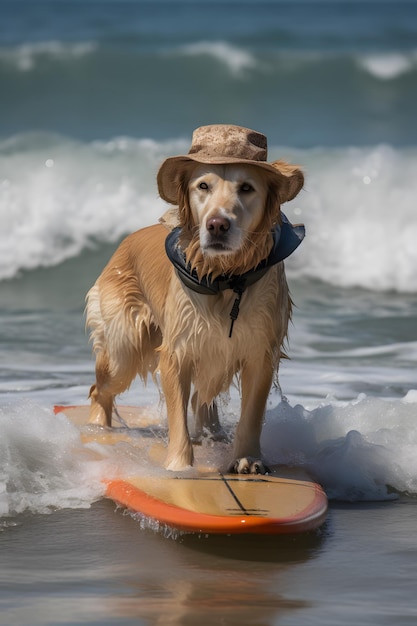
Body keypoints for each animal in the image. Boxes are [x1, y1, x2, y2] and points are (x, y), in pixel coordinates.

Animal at [86, 124, 304, 470]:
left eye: (246, 187)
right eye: (203, 186)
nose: (217, 224)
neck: (226, 278)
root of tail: (125, 241)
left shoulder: (260, 354)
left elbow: (252, 415)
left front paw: (247, 459)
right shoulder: (177, 352)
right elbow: (178, 415)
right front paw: (179, 467)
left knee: (203, 398)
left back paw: (213, 435)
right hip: (124, 348)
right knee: (100, 389)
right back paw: (99, 432)